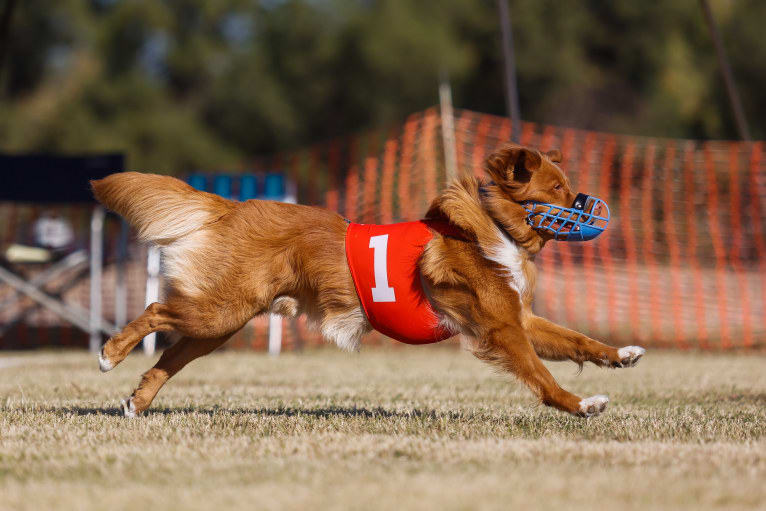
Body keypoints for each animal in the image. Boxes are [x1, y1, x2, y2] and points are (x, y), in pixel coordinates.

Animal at [94, 146, 648, 418]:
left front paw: (621, 355)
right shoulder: (501, 330)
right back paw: (109, 354)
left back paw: (136, 403)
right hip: (218, 311)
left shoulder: (521, 318)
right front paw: (581, 405)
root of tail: (235, 204)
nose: (590, 205)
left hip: (220, 324)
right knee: (155, 312)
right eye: (556, 188)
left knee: (168, 359)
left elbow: (577, 341)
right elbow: (542, 375)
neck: (492, 225)